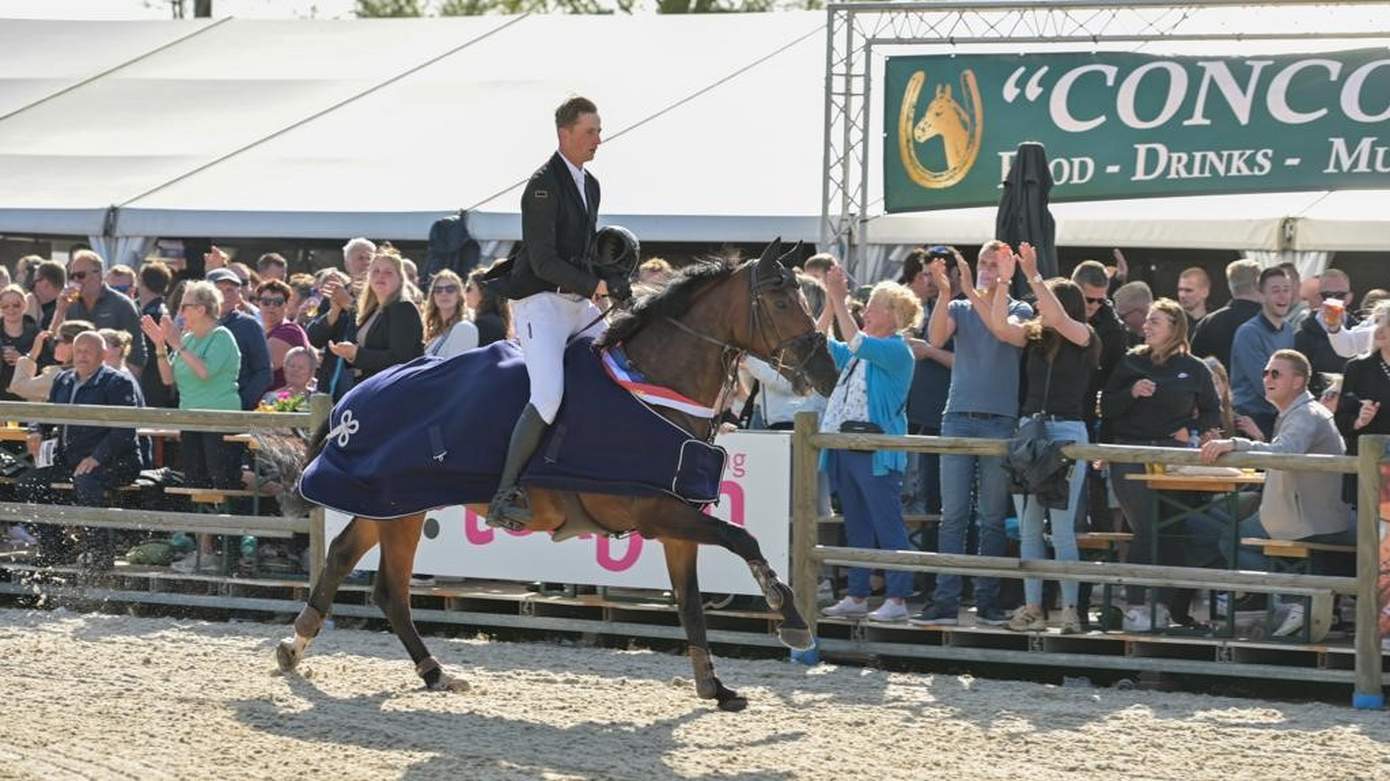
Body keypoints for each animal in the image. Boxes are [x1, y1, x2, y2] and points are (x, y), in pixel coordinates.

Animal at [273, 240, 834, 708]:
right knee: (385, 587)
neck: (653, 386)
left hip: (390, 504)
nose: (825, 371)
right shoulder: (659, 512)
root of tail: (352, 397)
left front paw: (714, 687)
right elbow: (744, 540)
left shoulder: (678, 524)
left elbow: (692, 602)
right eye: (781, 303)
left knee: (349, 561)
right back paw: (404, 665)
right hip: (397, 503)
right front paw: (792, 621)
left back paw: (319, 650)